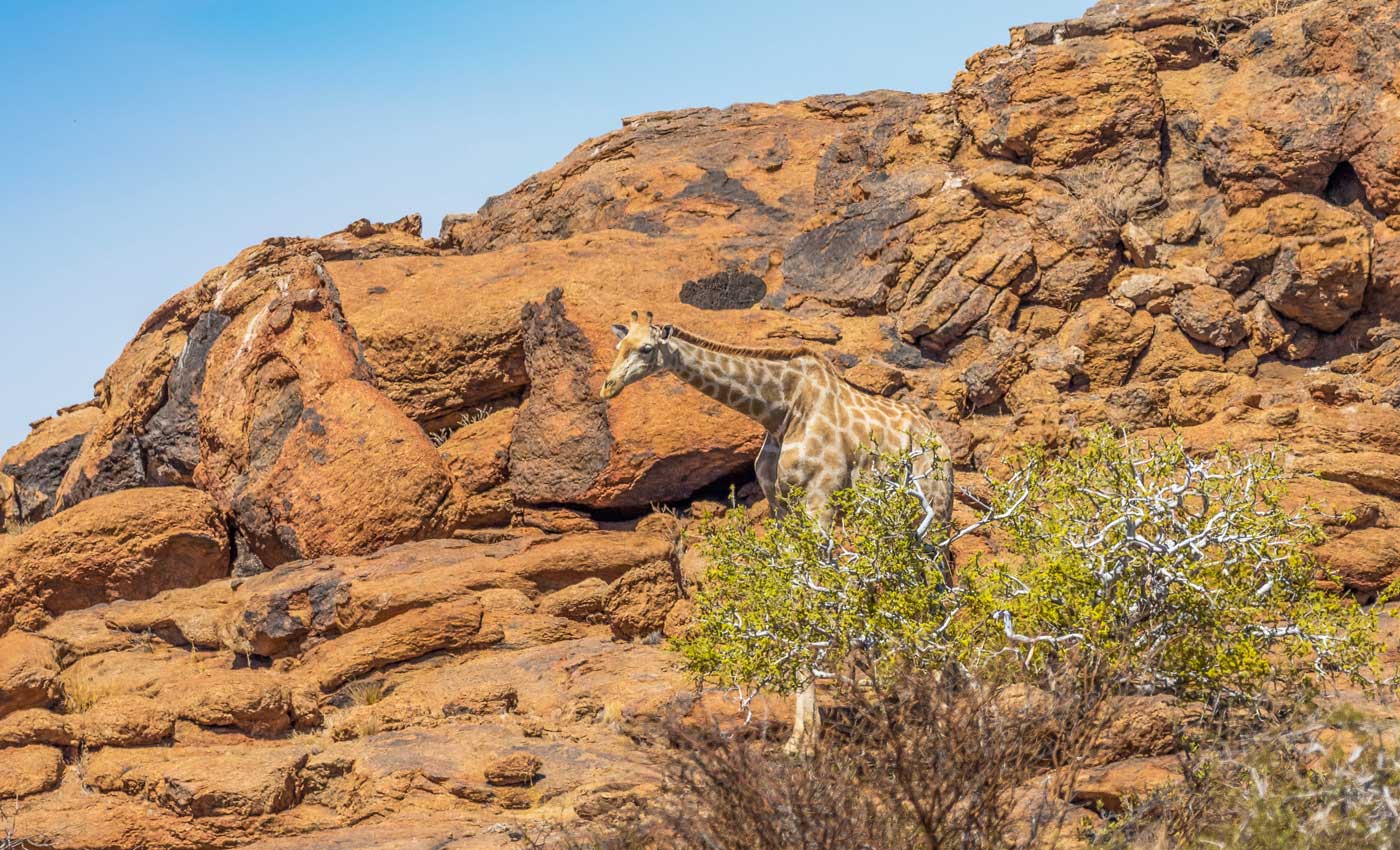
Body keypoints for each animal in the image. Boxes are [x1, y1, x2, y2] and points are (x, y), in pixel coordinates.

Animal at [600, 311, 954, 755]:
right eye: (619, 346)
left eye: (647, 348)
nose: (607, 386)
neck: (780, 410)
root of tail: (943, 444)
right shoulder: (781, 507)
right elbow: (791, 594)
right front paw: (800, 737)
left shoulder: (821, 498)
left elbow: (813, 596)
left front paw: (807, 740)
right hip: (901, 522)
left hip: (934, 512)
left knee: (941, 591)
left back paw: (942, 715)